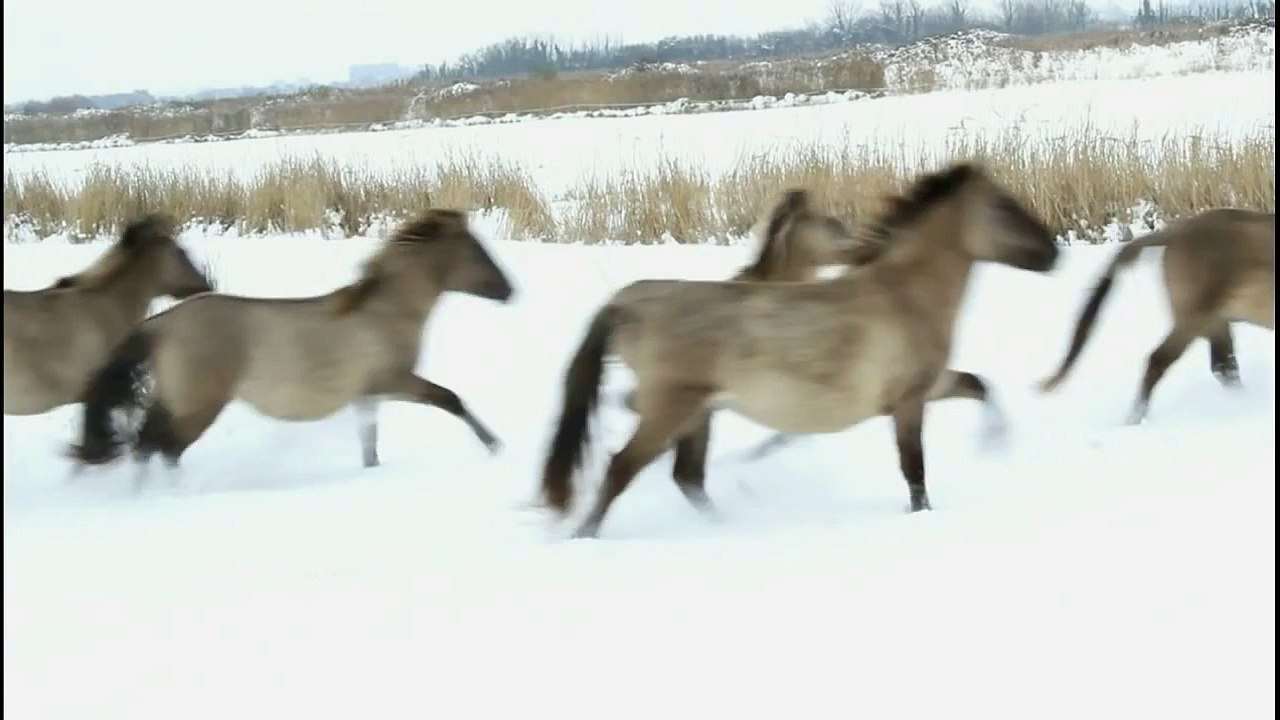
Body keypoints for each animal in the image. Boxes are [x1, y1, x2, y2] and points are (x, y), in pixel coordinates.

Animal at [68, 208, 515, 480]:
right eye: (477, 251)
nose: (511, 291)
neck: (387, 312)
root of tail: (164, 322)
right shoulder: (395, 379)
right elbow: (450, 398)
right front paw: (496, 446)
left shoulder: (368, 395)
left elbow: (369, 444)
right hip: (198, 406)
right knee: (162, 447)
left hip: (175, 398)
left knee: (150, 445)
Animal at [539, 161, 1059, 538]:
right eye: (1004, 207)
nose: (1055, 253)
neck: (903, 295)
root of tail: (628, 302)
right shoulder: (908, 402)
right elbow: (915, 473)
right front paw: (926, 511)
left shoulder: (930, 386)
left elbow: (979, 385)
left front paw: (995, 443)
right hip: (671, 407)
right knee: (622, 468)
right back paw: (584, 537)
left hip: (697, 412)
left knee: (687, 477)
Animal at [1038, 207, 1275, 424]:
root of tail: (1175, 234)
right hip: (1192, 320)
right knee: (1159, 360)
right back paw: (1135, 420)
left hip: (1213, 321)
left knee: (1223, 366)